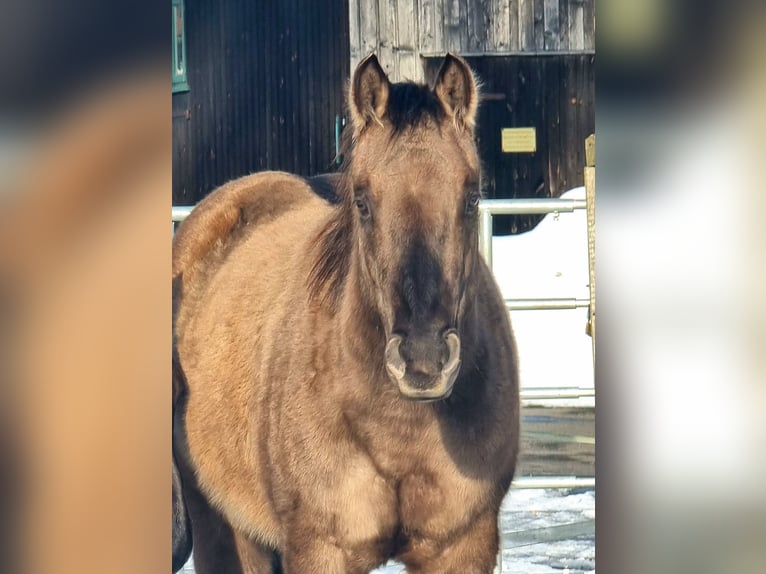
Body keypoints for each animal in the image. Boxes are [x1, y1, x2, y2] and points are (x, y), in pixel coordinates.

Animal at [172, 53, 519, 574]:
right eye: (362, 201)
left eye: (471, 197)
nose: (423, 361)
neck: (398, 430)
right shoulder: (320, 549)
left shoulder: (463, 546)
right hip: (221, 527)